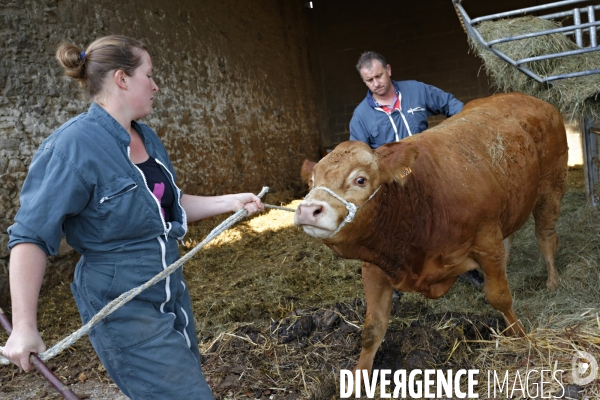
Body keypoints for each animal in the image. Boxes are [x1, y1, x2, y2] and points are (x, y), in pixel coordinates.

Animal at [294, 93, 568, 382]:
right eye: (311, 182)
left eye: (360, 180)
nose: (308, 210)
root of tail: (528, 98)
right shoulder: (374, 268)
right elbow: (372, 330)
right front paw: (358, 379)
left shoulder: (486, 242)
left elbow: (500, 296)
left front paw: (520, 335)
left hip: (551, 188)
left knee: (546, 237)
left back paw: (552, 281)